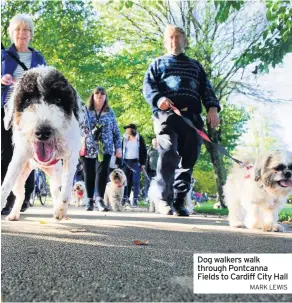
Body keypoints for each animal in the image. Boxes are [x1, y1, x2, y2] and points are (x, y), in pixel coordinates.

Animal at [0, 67, 83, 221]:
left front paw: (61, 210)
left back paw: (57, 208)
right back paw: (14, 214)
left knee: (56, 191)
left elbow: (67, 187)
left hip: (55, 177)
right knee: (20, 195)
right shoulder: (18, 158)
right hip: (20, 178)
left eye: (58, 99)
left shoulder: (71, 157)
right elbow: (5, 185)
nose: (43, 132)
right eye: (27, 100)